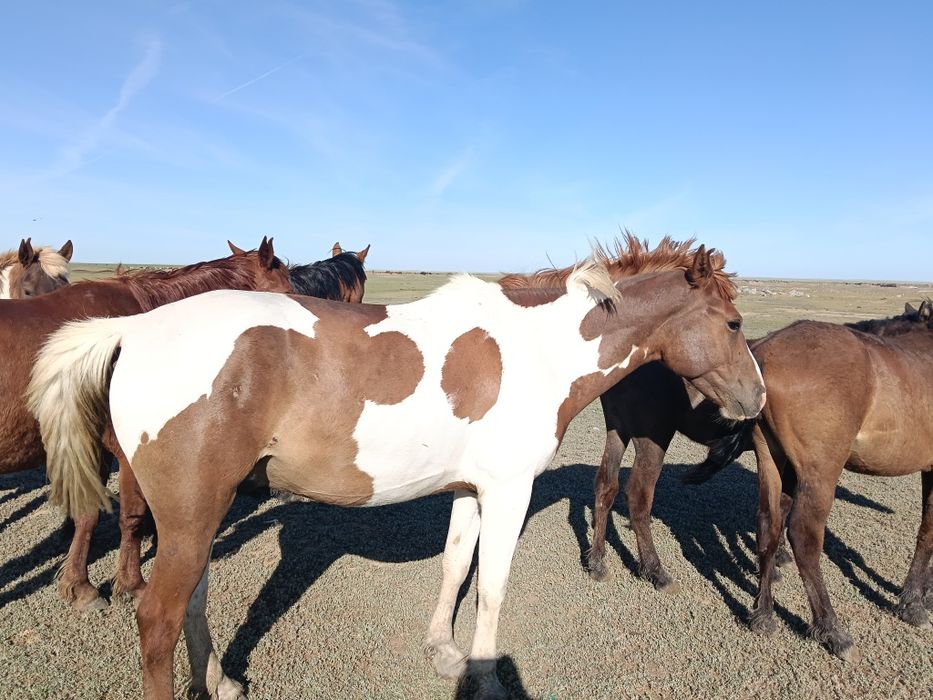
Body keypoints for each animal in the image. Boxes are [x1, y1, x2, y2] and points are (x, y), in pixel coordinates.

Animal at [0, 237, 300, 611]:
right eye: (286, 293)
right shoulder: (124, 453)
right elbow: (132, 515)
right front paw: (131, 583)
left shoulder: (94, 448)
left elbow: (89, 513)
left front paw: (79, 584)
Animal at [28, 243, 764, 699]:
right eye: (732, 323)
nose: (754, 401)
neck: (537, 351)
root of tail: (133, 330)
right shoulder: (508, 492)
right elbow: (491, 586)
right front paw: (484, 673)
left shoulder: (471, 490)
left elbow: (455, 567)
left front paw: (443, 650)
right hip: (188, 515)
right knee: (157, 617)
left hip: (202, 511)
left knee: (194, 602)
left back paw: (222, 682)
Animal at [682, 301, 933, 661]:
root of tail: (765, 351)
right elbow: (928, 532)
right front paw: (913, 602)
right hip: (821, 472)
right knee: (803, 535)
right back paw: (832, 630)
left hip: (770, 458)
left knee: (768, 525)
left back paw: (763, 615)